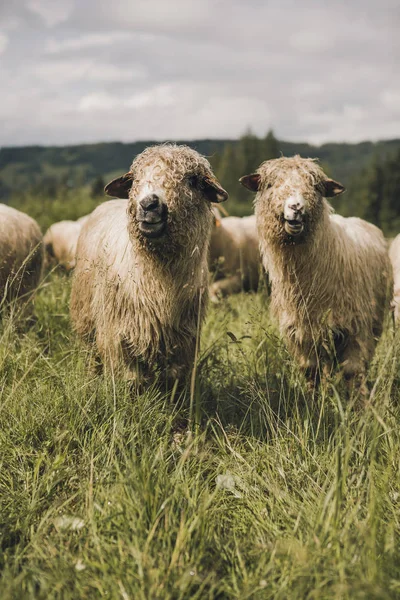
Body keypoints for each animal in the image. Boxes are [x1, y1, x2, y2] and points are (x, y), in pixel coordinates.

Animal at [70, 146, 228, 390]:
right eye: (135, 178)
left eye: (192, 181)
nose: (148, 204)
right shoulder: (119, 334)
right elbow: (131, 380)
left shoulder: (184, 340)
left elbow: (173, 378)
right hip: (85, 315)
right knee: (90, 354)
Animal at [239, 155, 392, 390]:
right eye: (270, 184)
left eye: (315, 186)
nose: (296, 206)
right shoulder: (301, 331)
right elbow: (311, 371)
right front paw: (313, 397)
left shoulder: (356, 326)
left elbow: (353, 372)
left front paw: (358, 400)